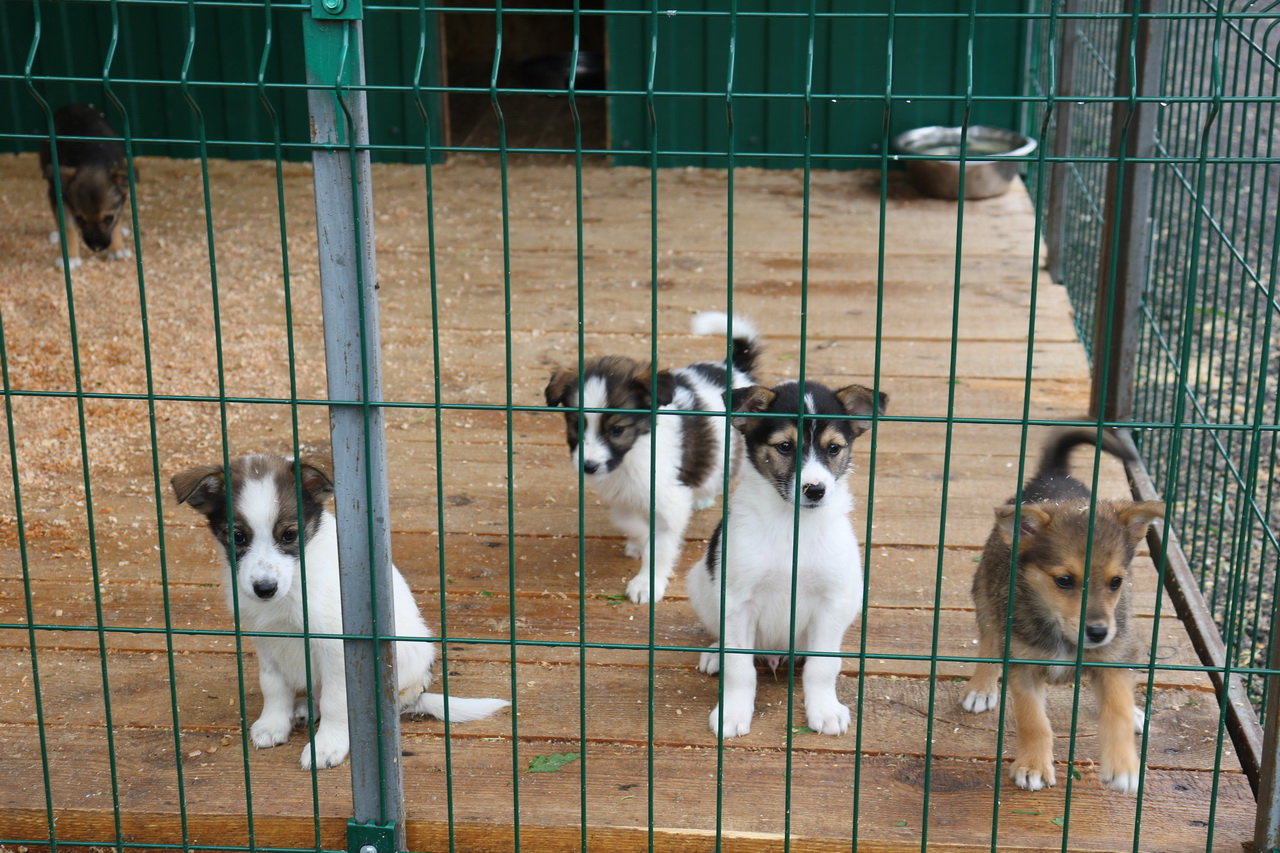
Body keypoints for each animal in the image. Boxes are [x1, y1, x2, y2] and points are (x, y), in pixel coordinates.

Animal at [40, 103, 135, 268]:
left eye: (108, 219)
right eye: (80, 220)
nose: (97, 248)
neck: (91, 159)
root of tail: (72, 105)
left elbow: (116, 224)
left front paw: (117, 249)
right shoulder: (59, 197)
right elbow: (68, 227)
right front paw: (71, 257)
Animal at [171, 455, 509, 768]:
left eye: (290, 535)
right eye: (238, 537)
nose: (264, 589)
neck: (294, 587)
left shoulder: (337, 647)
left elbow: (337, 701)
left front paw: (327, 745)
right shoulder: (265, 640)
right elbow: (273, 685)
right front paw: (273, 724)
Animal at [542, 308, 757, 601]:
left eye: (617, 429)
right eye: (576, 425)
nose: (589, 466)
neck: (633, 453)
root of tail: (732, 368)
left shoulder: (670, 499)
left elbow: (660, 545)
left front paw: (646, 583)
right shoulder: (621, 493)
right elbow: (626, 520)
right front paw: (639, 541)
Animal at [686, 379, 885, 737]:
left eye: (833, 449)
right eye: (784, 447)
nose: (815, 490)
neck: (793, 525)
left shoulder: (831, 600)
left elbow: (821, 666)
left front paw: (825, 710)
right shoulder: (737, 601)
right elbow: (739, 666)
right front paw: (732, 713)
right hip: (700, 581)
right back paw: (714, 655)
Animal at [962, 427, 1167, 794]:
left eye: (1116, 582)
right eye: (1064, 581)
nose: (1098, 632)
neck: (1063, 635)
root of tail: (1055, 477)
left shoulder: (1113, 657)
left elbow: (1117, 707)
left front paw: (1124, 765)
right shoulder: (1024, 665)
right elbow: (1033, 719)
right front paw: (1033, 766)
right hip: (986, 591)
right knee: (988, 638)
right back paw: (981, 687)